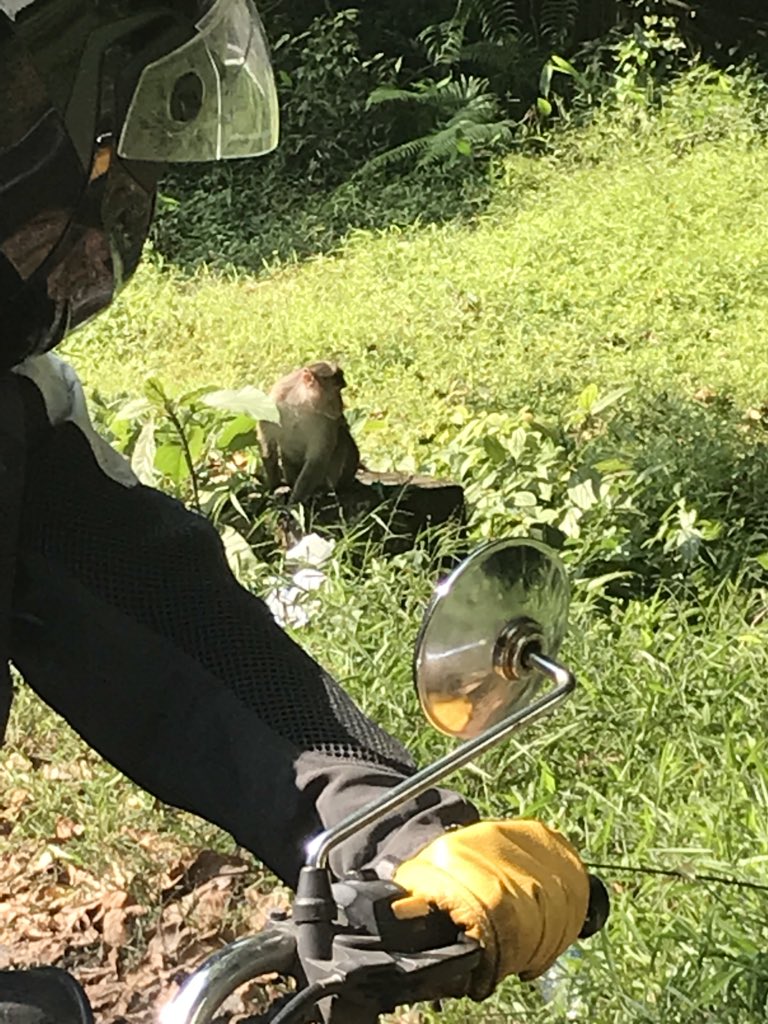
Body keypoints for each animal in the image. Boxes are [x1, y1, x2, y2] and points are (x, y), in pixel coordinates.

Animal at [258, 361, 361, 504]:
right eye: (337, 390)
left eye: (341, 389)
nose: (341, 404)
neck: (300, 405)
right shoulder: (274, 402)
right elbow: (268, 445)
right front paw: (275, 486)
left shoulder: (326, 422)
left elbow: (317, 458)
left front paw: (294, 501)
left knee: (341, 436)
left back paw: (322, 489)